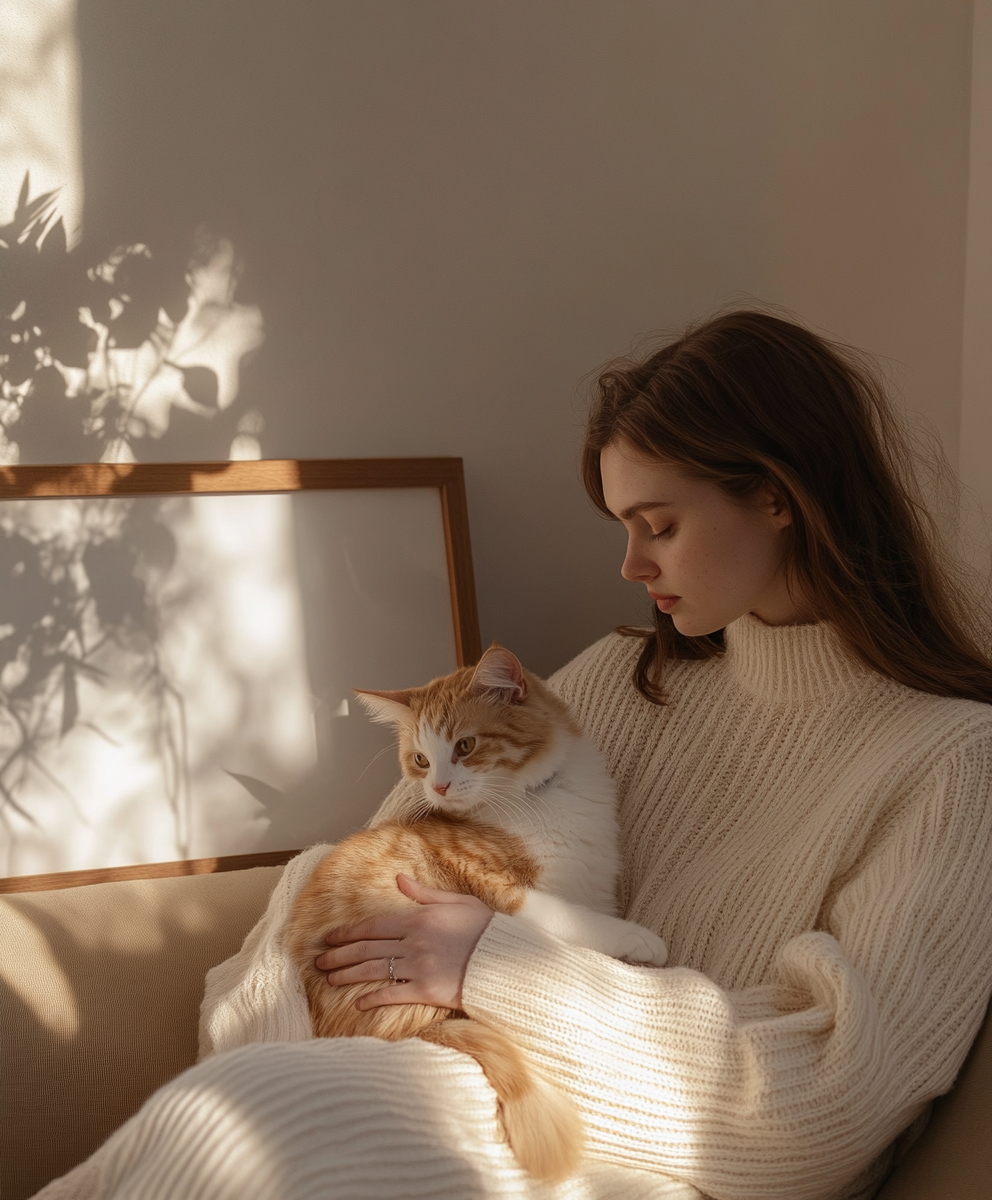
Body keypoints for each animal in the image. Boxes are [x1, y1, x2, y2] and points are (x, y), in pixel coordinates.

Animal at [291, 648, 671, 1180]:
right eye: (421, 759)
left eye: (465, 746)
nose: (439, 787)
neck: (538, 800)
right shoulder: (497, 886)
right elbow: (576, 922)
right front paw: (639, 940)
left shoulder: (595, 884)